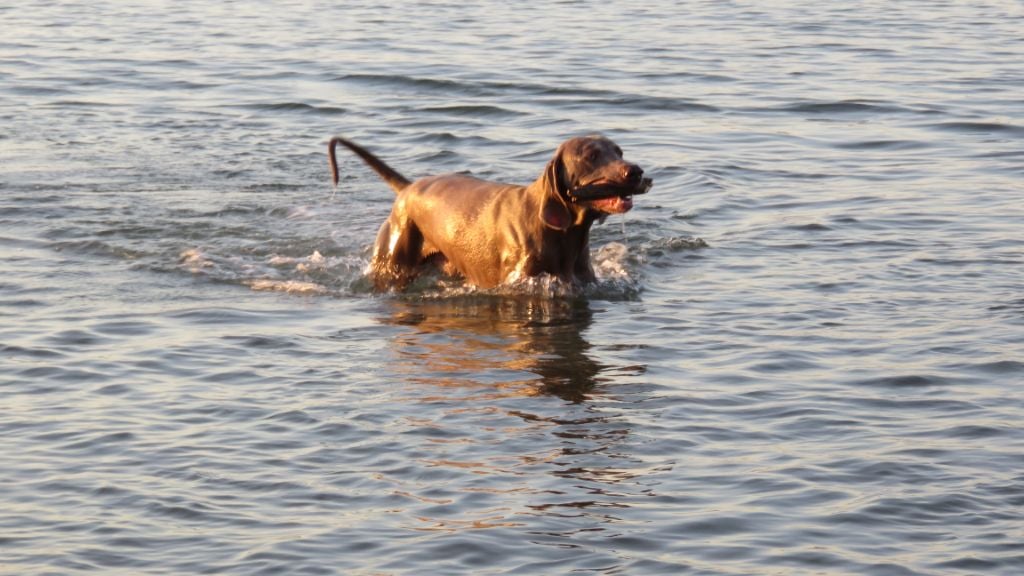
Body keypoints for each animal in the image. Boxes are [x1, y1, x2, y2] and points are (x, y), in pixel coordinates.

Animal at [327, 133, 647, 289]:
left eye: (618, 151)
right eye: (591, 155)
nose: (635, 171)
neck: (563, 236)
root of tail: (407, 188)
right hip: (393, 259)